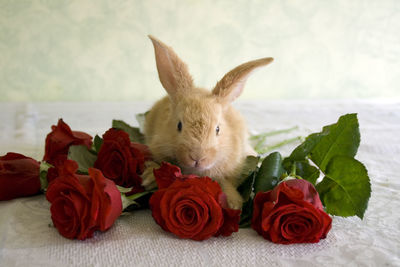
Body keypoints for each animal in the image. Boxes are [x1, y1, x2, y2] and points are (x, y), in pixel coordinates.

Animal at [141, 36, 272, 211]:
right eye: (179, 125)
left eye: (217, 129)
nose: (197, 158)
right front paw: (148, 179)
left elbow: (225, 182)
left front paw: (234, 204)